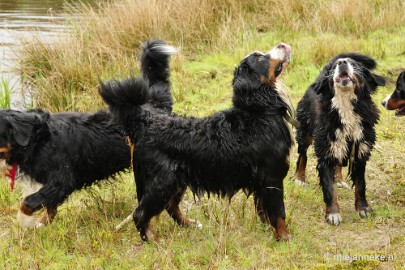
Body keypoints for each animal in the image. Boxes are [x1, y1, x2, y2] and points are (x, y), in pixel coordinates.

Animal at [0, 38, 177, 228]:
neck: (37, 141)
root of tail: (155, 105)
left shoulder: (62, 179)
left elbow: (27, 202)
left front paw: (26, 221)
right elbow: (49, 207)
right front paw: (41, 224)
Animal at [98, 42, 294, 243]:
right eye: (260, 57)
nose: (282, 44)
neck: (259, 111)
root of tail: (145, 121)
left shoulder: (262, 181)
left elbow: (264, 211)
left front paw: (268, 230)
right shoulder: (272, 177)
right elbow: (278, 213)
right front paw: (284, 237)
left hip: (177, 181)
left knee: (170, 206)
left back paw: (189, 224)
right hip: (162, 183)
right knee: (140, 213)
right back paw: (153, 240)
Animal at [292, 52, 384, 226]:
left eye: (354, 64)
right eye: (335, 67)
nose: (342, 62)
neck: (345, 106)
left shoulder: (360, 150)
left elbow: (361, 186)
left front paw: (363, 208)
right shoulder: (325, 151)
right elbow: (329, 190)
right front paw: (333, 213)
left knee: (339, 162)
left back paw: (339, 180)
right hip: (305, 130)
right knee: (302, 155)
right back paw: (299, 178)